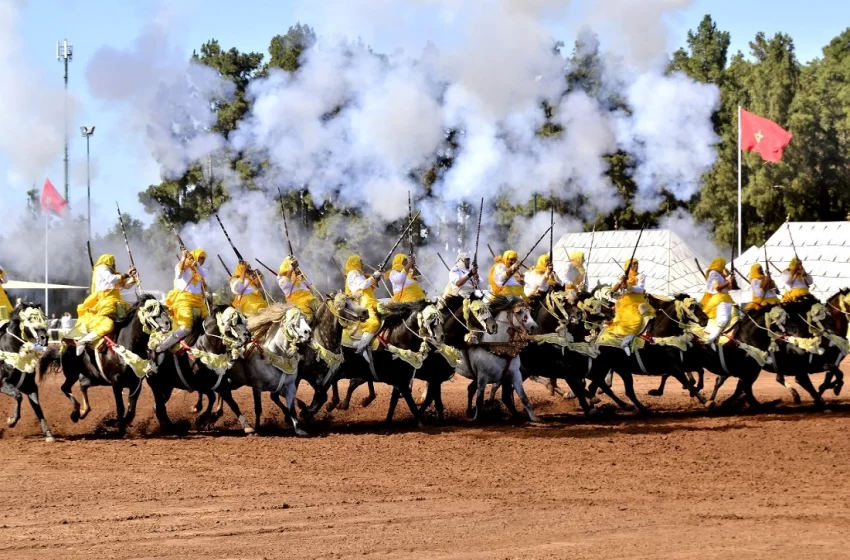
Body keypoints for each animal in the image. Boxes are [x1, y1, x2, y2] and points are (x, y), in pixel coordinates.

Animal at [0, 302, 53, 442]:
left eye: (43, 318)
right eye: (30, 318)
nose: (44, 338)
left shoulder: (30, 386)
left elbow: (37, 407)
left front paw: (48, 434)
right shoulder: (2, 383)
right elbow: (18, 396)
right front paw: (11, 421)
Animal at [57, 296, 171, 436]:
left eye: (163, 307)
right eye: (150, 308)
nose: (168, 323)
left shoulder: (136, 383)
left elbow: (131, 411)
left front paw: (112, 423)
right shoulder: (116, 381)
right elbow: (120, 407)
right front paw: (120, 430)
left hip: (94, 377)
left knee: (82, 385)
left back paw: (83, 411)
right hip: (71, 373)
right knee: (65, 387)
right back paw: (75, 413)